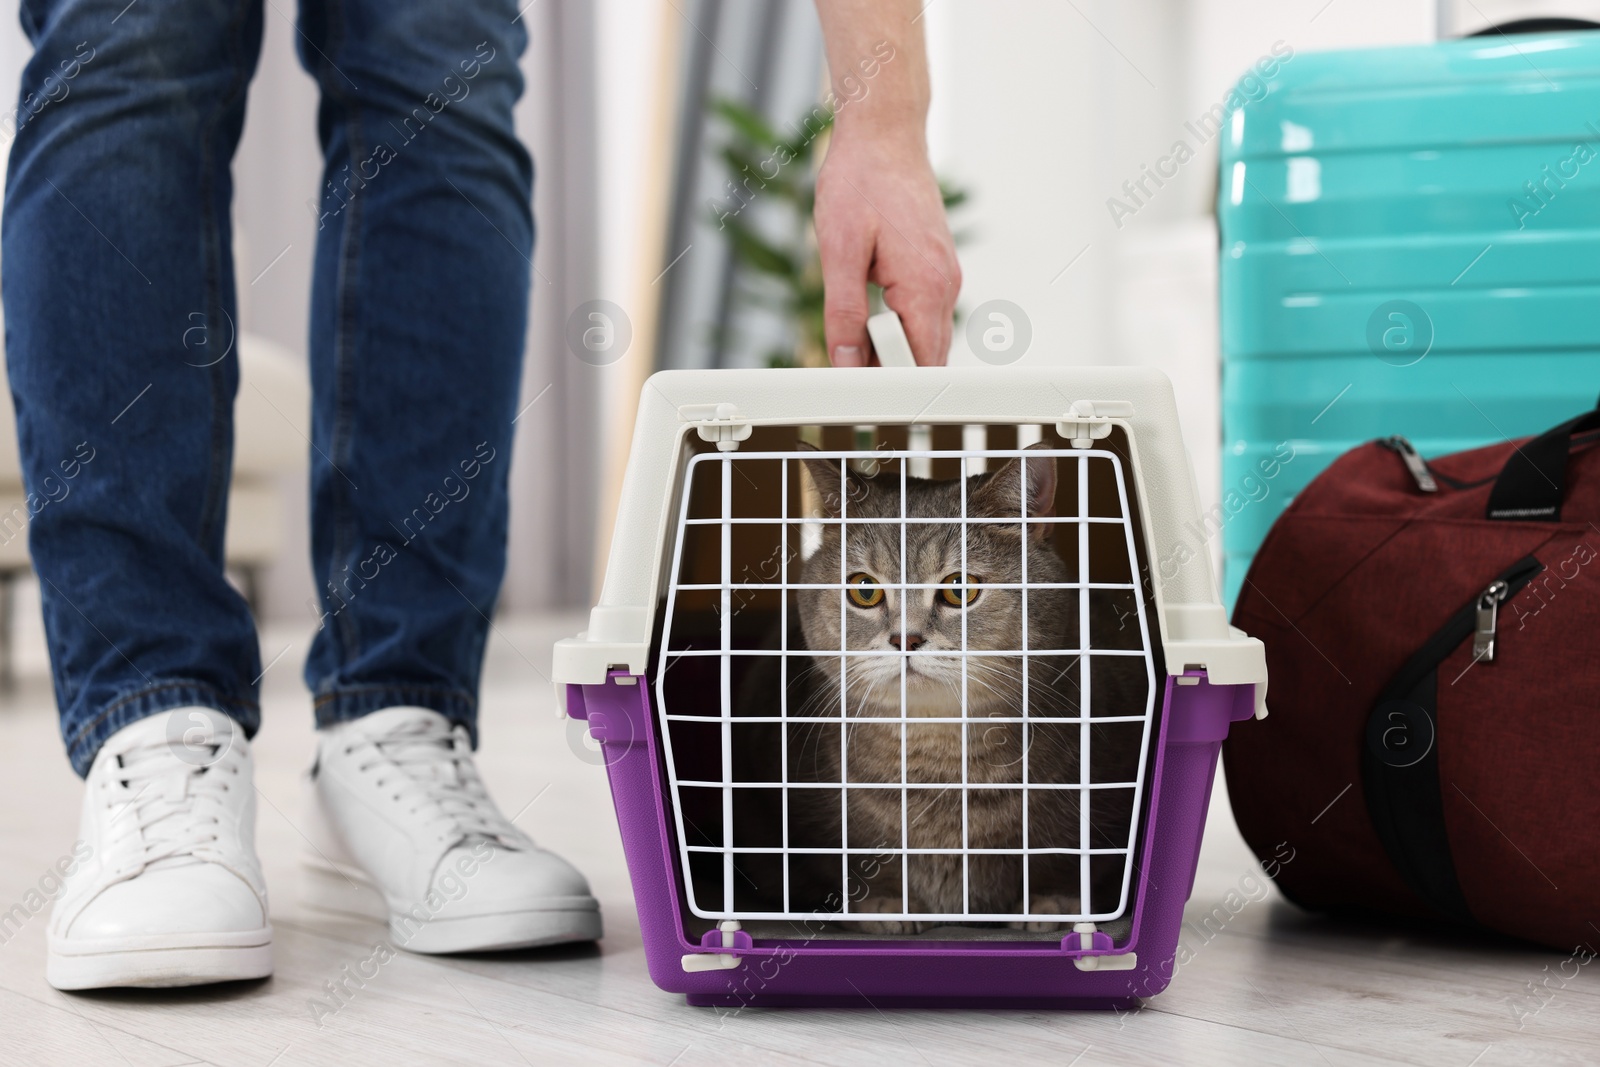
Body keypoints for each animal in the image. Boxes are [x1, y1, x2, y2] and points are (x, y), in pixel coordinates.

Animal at [780, 438, 1145, 927]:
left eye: (959, 588)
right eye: (864, 589)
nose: (906, 638)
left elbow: (1069, 858)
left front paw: (1052, 901)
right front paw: (887, 901)